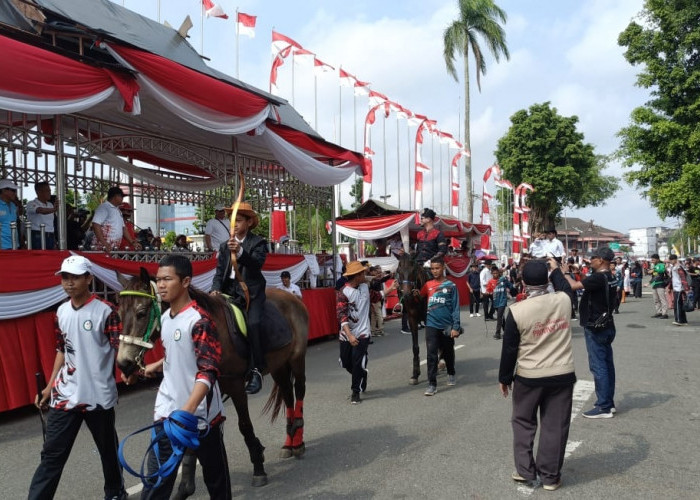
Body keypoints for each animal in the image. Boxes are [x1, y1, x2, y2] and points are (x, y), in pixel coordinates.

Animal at [116, 268, 308, 494]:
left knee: (299, 390)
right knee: (287, 395)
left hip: (296, 358)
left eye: (141, 313)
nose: (123, 364)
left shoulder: (236, 386)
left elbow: (245, 426)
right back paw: (289, 443)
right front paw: (185, 485)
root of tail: (291, 297)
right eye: (118, 315)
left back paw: (298, 439)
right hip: (278, 365)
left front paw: (258, 467)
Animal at [396, 256, 430, 384]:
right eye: (398, 271)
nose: (406, 295)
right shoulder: (412, 320)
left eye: (413, 271)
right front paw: (415, 374)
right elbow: (415, 347)